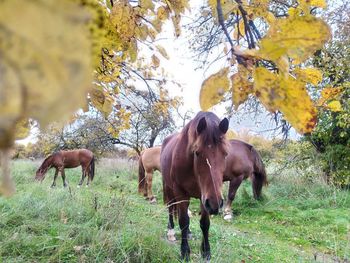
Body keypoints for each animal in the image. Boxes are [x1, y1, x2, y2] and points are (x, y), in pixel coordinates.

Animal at [160, 112, 228, 262]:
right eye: (197, 152)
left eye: (225, 154)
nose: (216, 203)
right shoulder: (181, 192)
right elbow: (184, 221)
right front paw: (185, 252)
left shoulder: (205, 197)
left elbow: (204, 223)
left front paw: (206, 251)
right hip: (168, 187)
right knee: (171, 208)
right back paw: (171, 232)